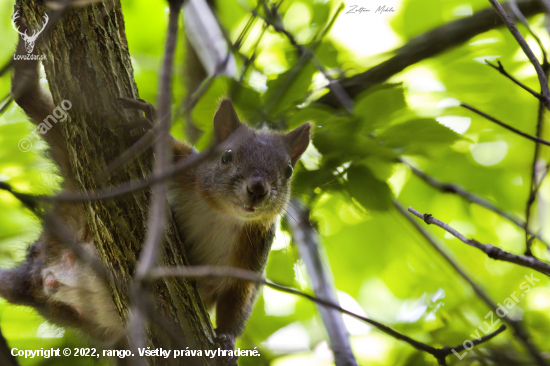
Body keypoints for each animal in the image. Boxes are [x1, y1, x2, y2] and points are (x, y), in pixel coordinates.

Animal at [2, 6, 312, 354]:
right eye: (226, 156)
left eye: (288, 171)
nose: (257, 189)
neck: (220, 212)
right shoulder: (183, 167)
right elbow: (169, 147)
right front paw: (152, 126)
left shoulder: (253, 251)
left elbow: (238, 299)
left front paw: (226, 341)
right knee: (25, 91)